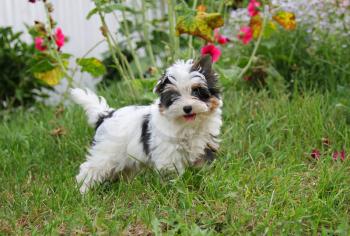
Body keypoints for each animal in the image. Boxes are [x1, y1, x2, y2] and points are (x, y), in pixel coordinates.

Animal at [71, 55, 223, 194]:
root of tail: (106, 115)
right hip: (106, 152)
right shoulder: (168, 153)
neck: (188, 125)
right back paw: (83, 190)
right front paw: (175, 187)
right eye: (174, 96)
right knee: (91, 167)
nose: (187, 108)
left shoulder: (205, 145)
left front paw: (204, 180)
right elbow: (172, 170)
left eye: (196, 91)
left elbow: (202, 165)